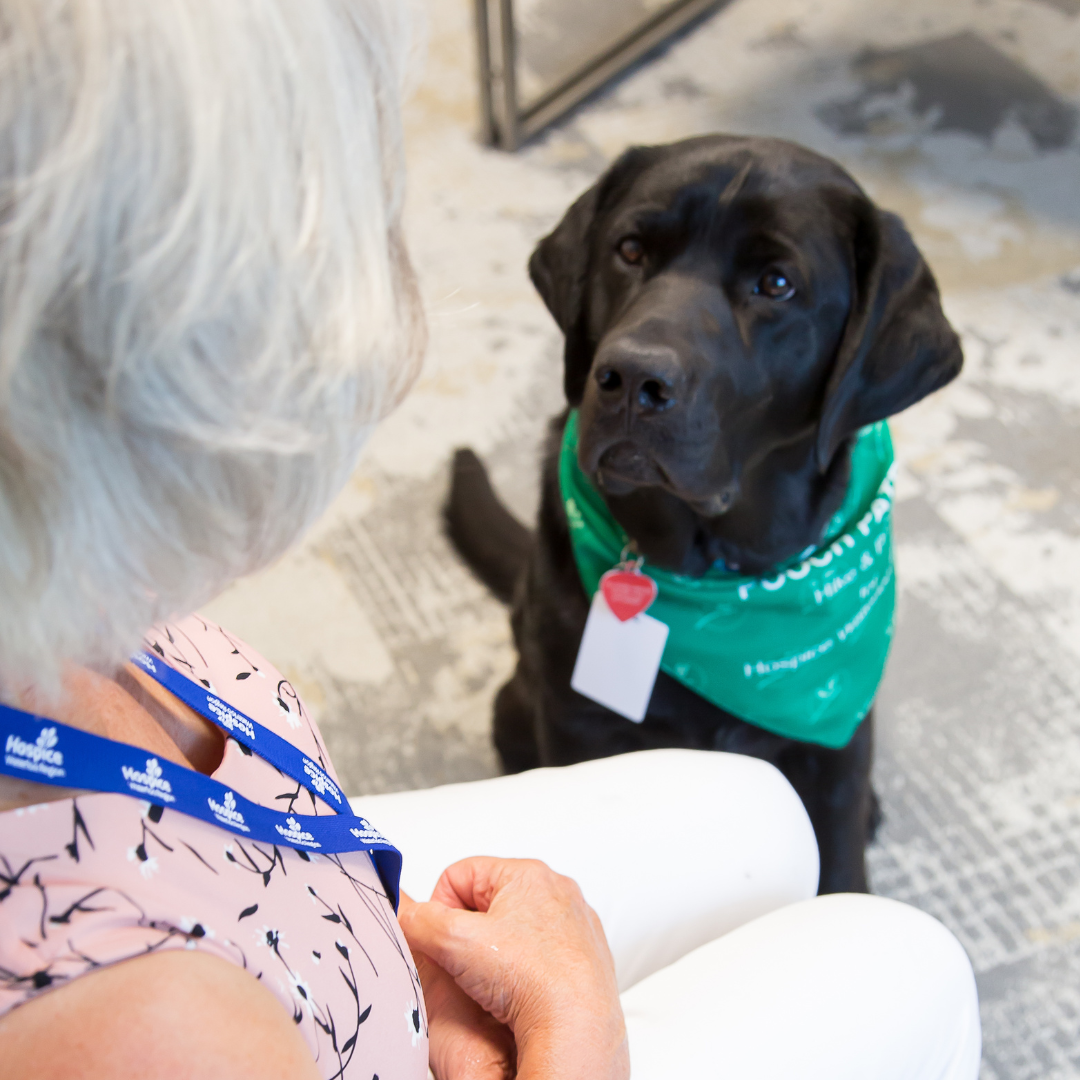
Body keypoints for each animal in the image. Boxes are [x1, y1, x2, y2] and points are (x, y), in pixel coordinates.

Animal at [447, 137, 963, 894]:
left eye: (775, 284)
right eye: (630, 250)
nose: (632, 377)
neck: (717, 575)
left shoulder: (833, 746)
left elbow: (841, 865)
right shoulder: (579, 727)